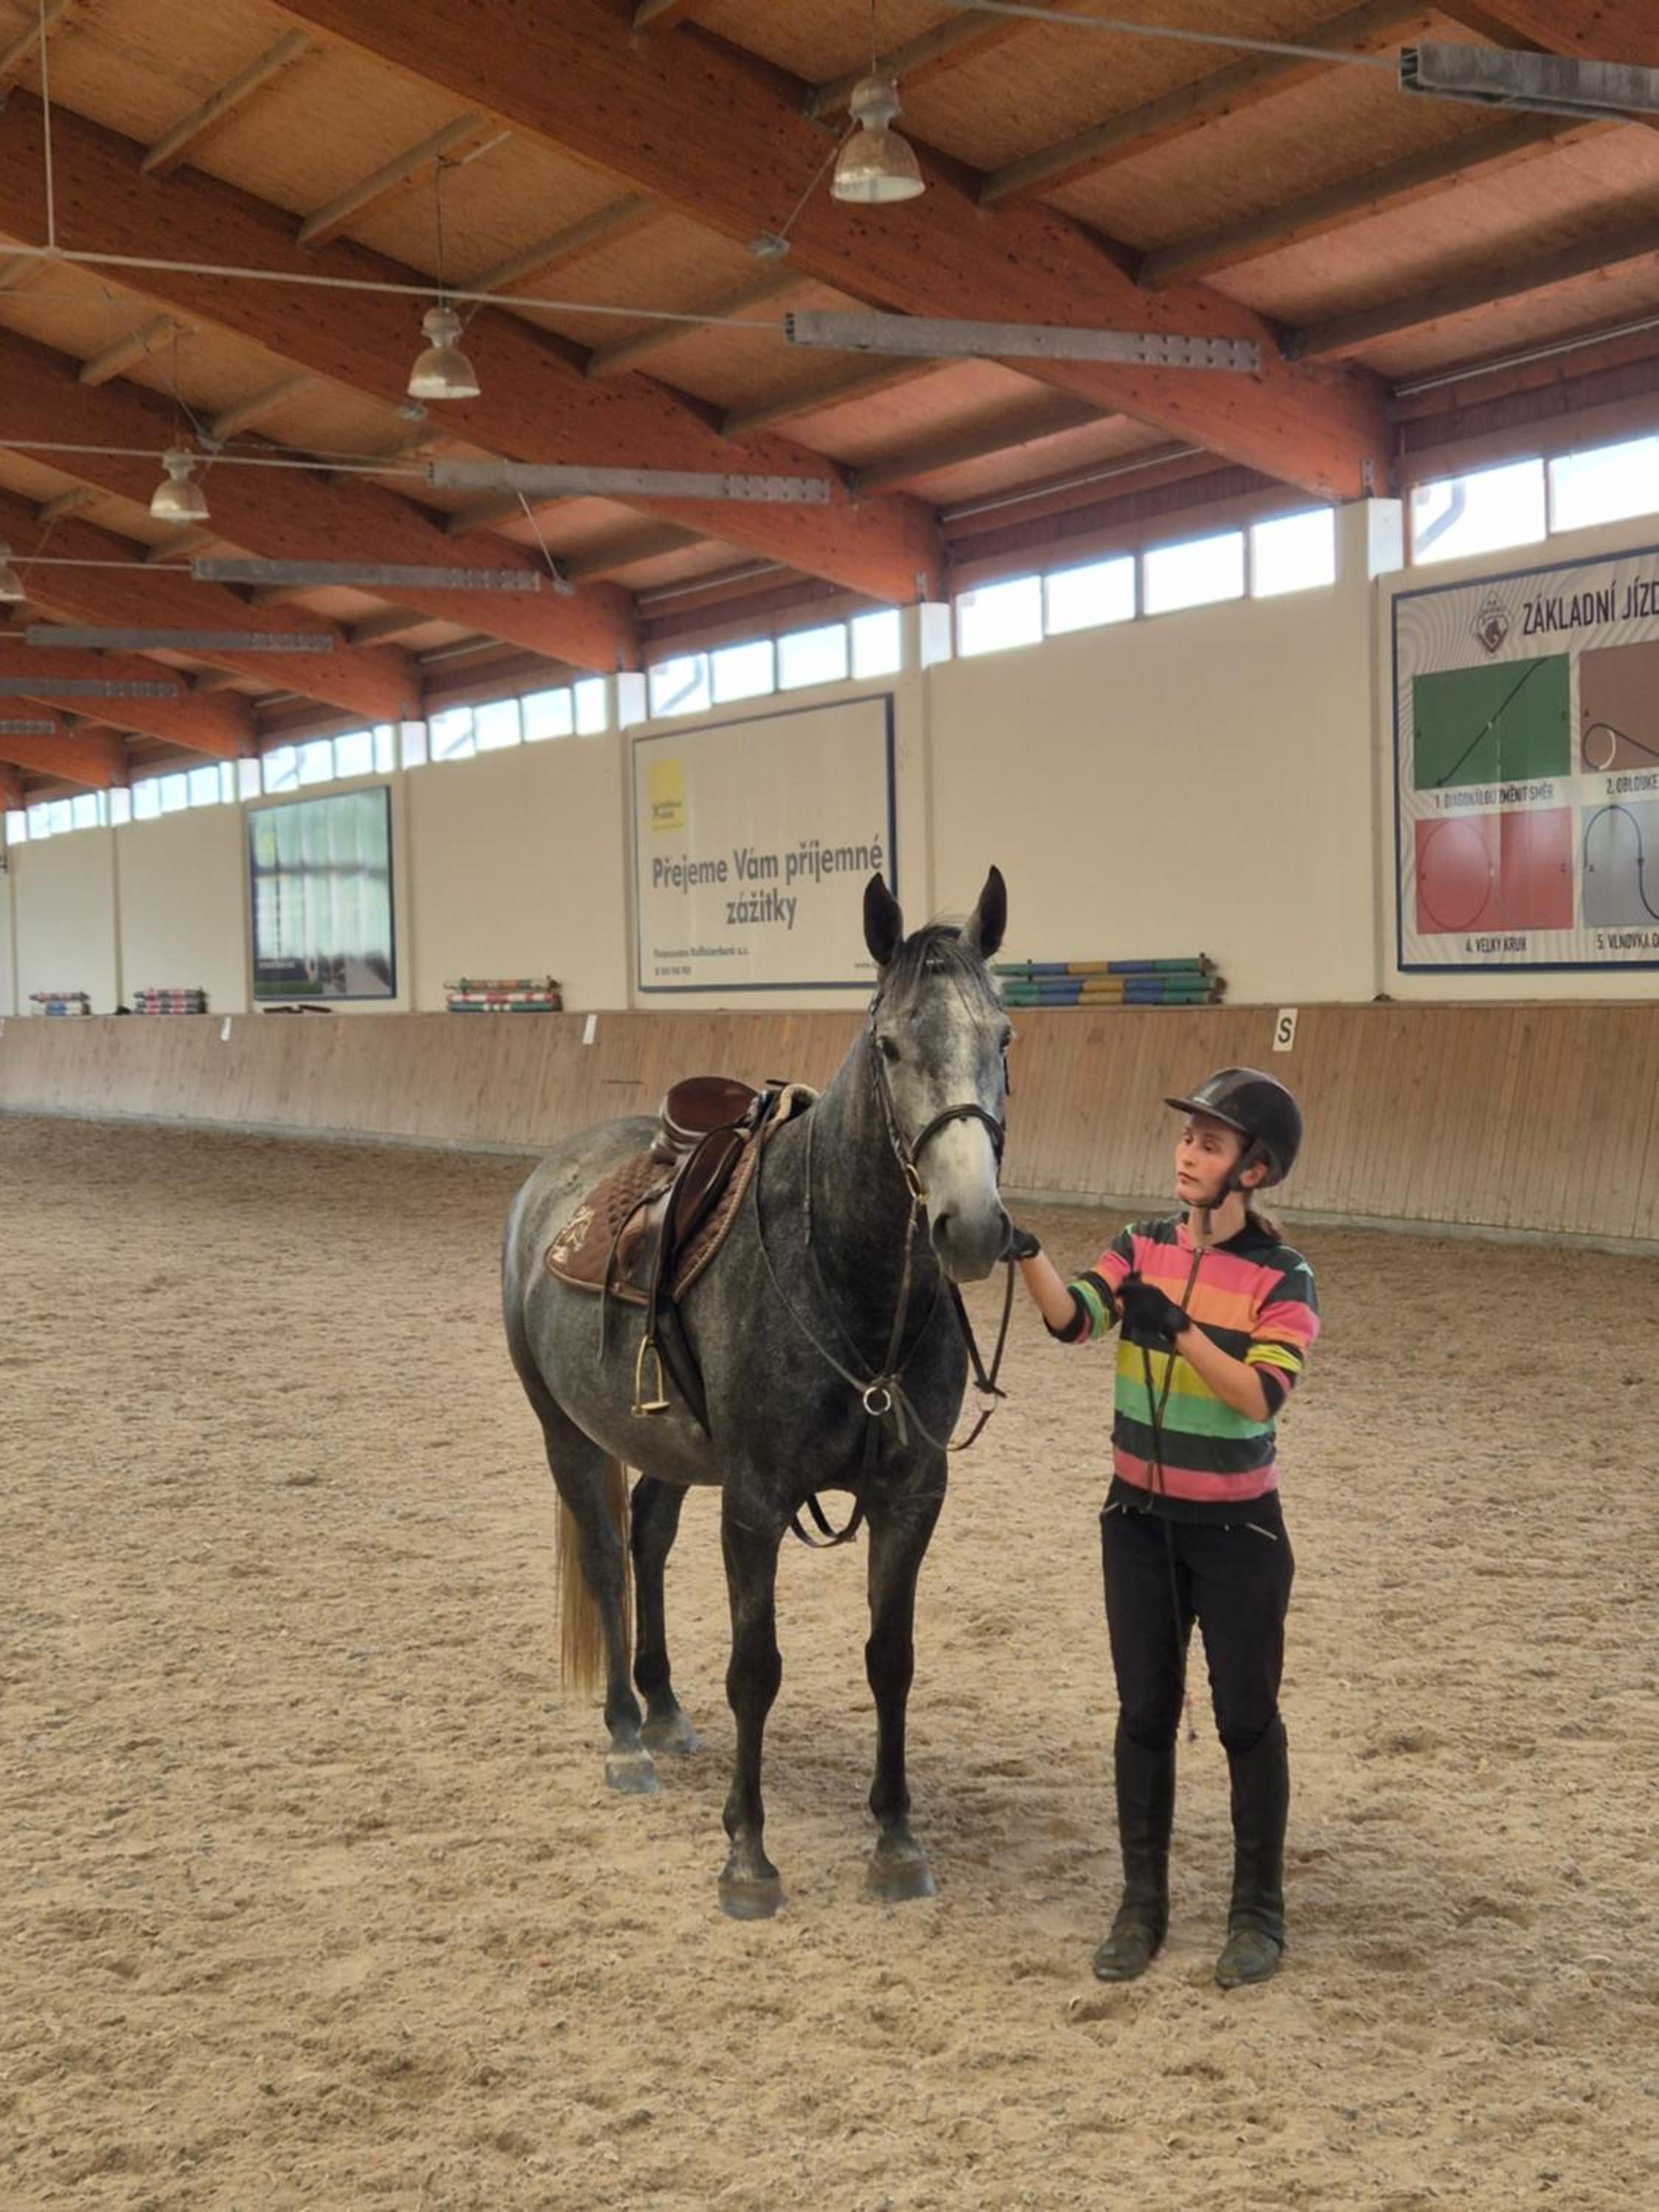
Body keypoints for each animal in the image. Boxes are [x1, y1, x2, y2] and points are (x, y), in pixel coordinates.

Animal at [500, 868, 1012, 1918]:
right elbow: (756, 1669)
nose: (973, 1226)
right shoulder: (756, 1500)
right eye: (891, 1044)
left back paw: (662, 1709)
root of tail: (547, 1185)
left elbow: (890, 1661)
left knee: (648, 1542)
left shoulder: (913, 1496)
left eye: (1004, 1038)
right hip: (566, 1434)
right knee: (608, 1560)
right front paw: (748, 1855)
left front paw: (895, 1841)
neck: (849, 1279)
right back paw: (625, 1734)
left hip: (665, 1447)